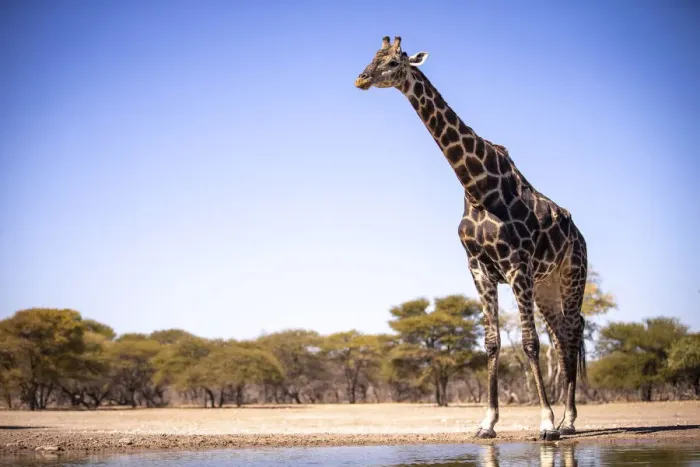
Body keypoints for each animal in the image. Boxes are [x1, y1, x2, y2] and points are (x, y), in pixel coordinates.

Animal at [354, 36, 588, 441]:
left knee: (572, 333)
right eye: (373, 56)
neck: (477, 187)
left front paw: (544, 424)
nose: (361, 78)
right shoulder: (478, 268)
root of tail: (582, 236)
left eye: (395, 61)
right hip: (547, 285)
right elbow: (492, 344)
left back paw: (568, 421)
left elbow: (528, 342)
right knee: (561, 336)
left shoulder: (516, 266)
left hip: (572, 275)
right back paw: (565, 419)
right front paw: (487, 423)